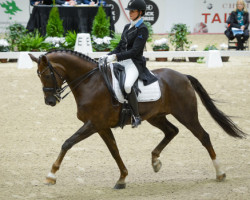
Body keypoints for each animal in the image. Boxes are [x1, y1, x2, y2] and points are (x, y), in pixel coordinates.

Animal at [28, 50, 246, 189]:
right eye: (38, 75)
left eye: (46, 74)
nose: (50, 101)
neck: (90, 82)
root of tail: (183, 75)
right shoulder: (101, 126)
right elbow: (114, 151)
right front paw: (122, 179)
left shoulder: (93, 124)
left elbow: (67, 143)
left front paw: (51, 176)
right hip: (156, 116)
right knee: (172, 131)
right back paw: (155, 161)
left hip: (186, 114)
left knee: (204, 136)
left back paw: (220, 173)